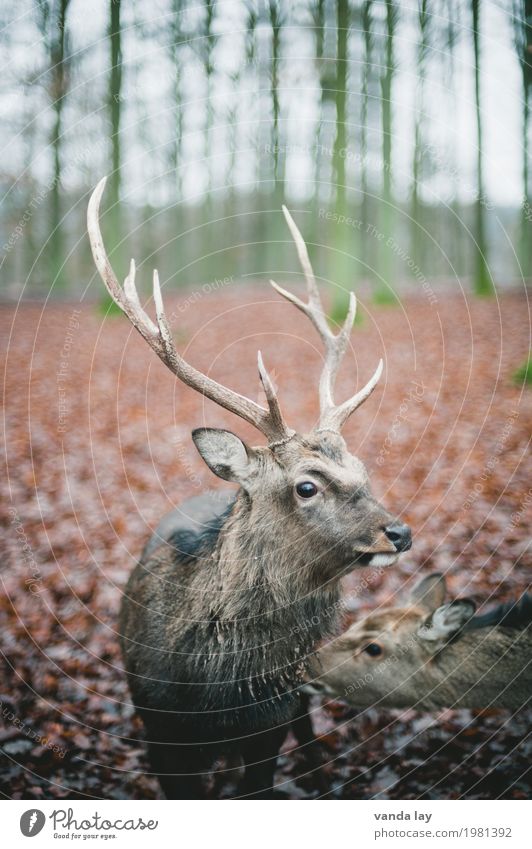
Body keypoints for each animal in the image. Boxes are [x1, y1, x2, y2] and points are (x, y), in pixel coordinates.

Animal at [87, 176, 412, 800]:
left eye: (362, 467)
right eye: (306, 486)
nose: (400, 532)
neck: (220, 696)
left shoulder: (272, 720)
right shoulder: (159, 728)